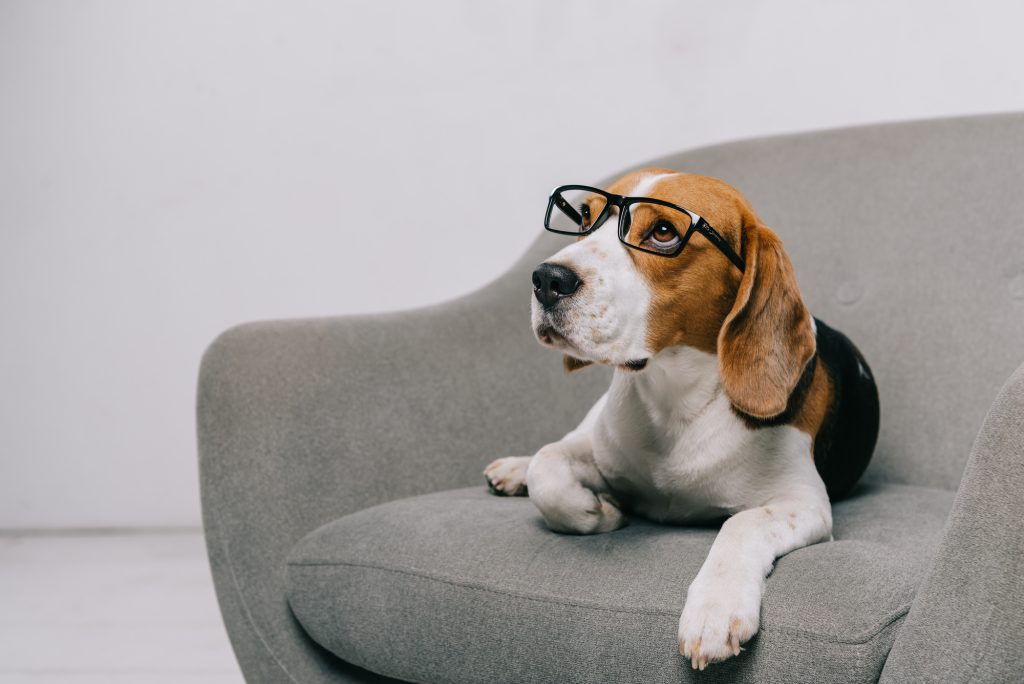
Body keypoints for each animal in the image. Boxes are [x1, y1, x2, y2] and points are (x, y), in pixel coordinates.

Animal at [483, 169, 876, 667]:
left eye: (664, 232)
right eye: (585, 219)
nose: (546, 278)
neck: (677, 401)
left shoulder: (805, 503)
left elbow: (741, 523)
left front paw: (715, 608)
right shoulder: (601, 451)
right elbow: (548, 469)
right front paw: (597, 511)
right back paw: (514, 469)